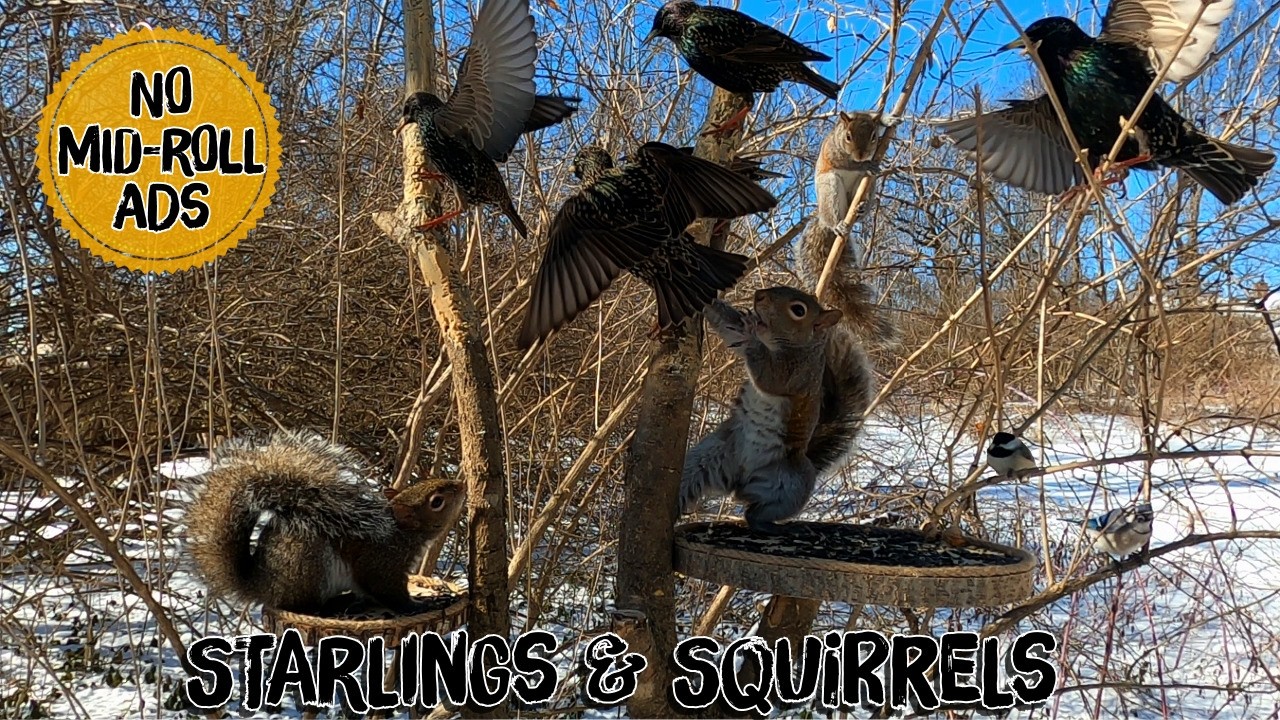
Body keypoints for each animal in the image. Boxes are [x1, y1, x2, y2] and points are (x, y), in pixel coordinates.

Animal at [184, 430, 466, 614]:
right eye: (437, 501)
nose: (461, 484)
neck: (402, 533)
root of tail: (261, 585)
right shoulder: (382, 562)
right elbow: (387, 591)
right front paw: (420, 605)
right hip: (311, 567)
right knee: (302, 605)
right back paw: (331, 605)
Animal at [679, 286, 886, 533]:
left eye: (798, 310)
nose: (759, 295)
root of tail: (741, 479)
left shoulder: (795, 374)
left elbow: (770, 376)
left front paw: (751, 333)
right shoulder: (736, 334)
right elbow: (726, 324)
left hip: (795, 486)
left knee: (758, 512)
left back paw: (766, 524)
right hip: (707, 459)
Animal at [814, 111, 881, 241]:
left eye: (874, 136)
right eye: (848, 137)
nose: (861, 155)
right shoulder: (832, 154)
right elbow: (848, 164)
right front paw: (865, 165)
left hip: (869, 184)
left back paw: (862, 208)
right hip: (828, 187)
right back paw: (838, 225)